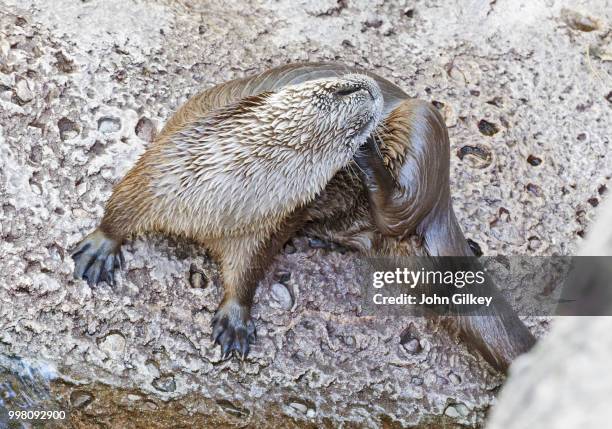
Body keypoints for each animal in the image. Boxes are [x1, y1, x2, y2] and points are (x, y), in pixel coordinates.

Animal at [70, 61, 532, 370]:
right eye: (339, 91)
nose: (369, 88)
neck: (220, 200)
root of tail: (444, 208)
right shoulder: (162, 165)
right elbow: (122, 204)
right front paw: (99, 248)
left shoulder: (267, 226)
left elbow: (249, 270)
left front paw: (235, 320)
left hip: (424, 127)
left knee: (403, 210)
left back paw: (370, 166)